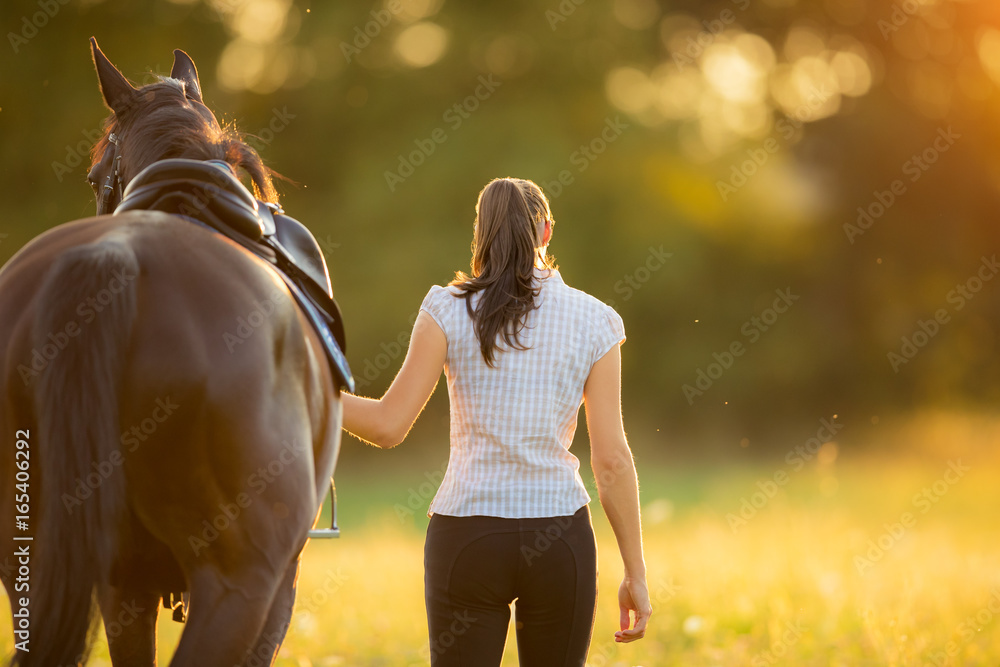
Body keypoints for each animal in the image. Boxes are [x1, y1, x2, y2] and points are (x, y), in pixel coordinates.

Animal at [0, 40, 342, 667]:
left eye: (94, 174)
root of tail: (113, 256)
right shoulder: (279, 584)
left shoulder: (124, 588)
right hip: (239, 584)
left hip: (32, 562)